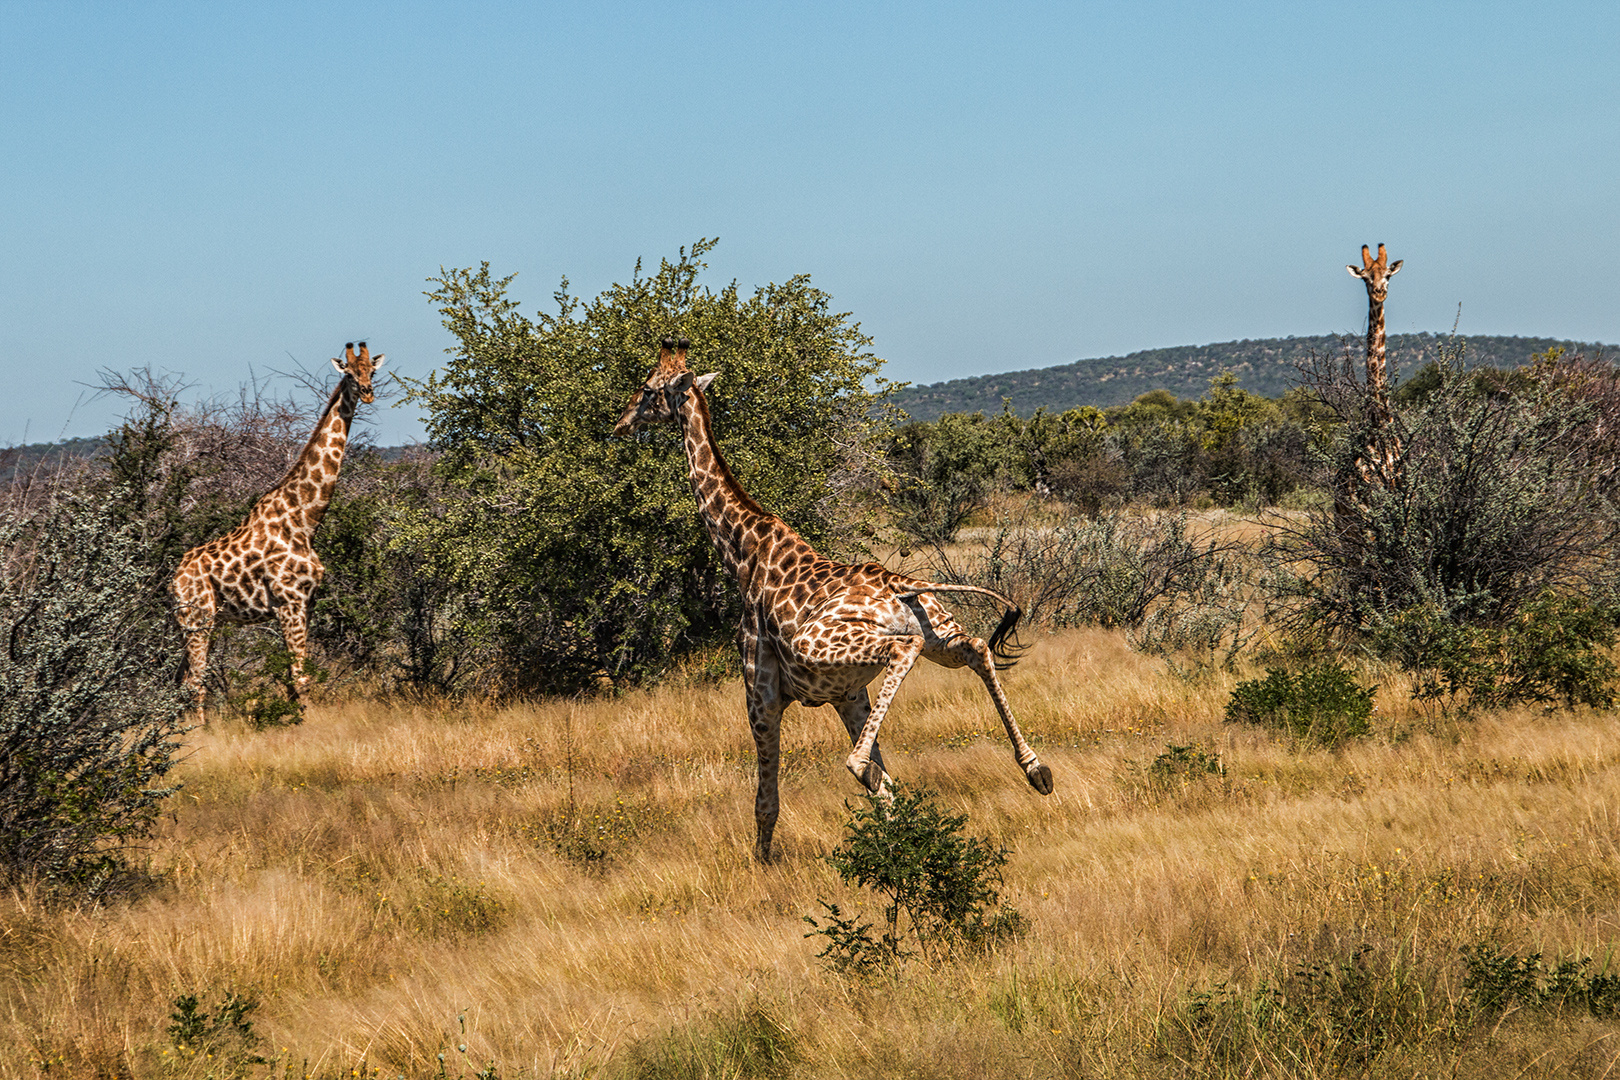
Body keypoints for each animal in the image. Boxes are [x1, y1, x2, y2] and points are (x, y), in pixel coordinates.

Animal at [172, 341, 383, 722]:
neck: (305, 518)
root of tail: (174, 580)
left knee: (181, 679)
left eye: (372, 371)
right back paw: (200, 731)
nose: (368, 392)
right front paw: (308, 726)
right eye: (347, 373)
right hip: (199, 618)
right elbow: (300, 676)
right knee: (195, 680)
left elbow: (292, 675)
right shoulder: (289, 602)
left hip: (196, 622)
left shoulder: (306, 603)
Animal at [612, 338, 1056, 861]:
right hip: (938, 633)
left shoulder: (760, 695)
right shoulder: (847, 693)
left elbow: (767, 801)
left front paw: (763, 868)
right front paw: (899, 849)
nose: (620, 422)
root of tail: (897, 586)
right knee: (978, 649)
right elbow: (885, 792)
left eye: (646, 389)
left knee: (901, 656)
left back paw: (861, 764)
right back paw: (1036, 769)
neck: (741, 554)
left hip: (824, 644)